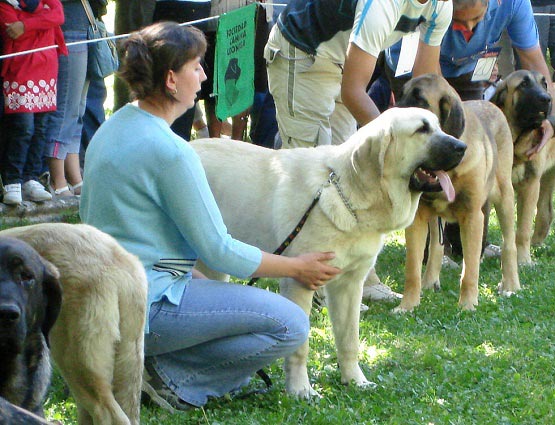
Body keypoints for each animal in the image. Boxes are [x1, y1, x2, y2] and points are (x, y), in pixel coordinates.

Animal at [396, 73, 520, 312]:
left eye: (420, 99)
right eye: (400, 93)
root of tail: (490, 103)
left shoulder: (472, 216)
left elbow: (469, 270)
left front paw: (467, 305)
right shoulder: (418, 218)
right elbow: (412, 269)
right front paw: (407, 305)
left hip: (504, 197)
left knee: (509, 243)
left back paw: (511, 285)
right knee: (436, 247)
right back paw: (429, 282)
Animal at [490, 69, 555, 264]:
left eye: (544, 84)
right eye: (524, 84)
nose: (547, 99)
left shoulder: (530, 185)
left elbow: (523, 228)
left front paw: (524, 260)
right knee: (545, 212)